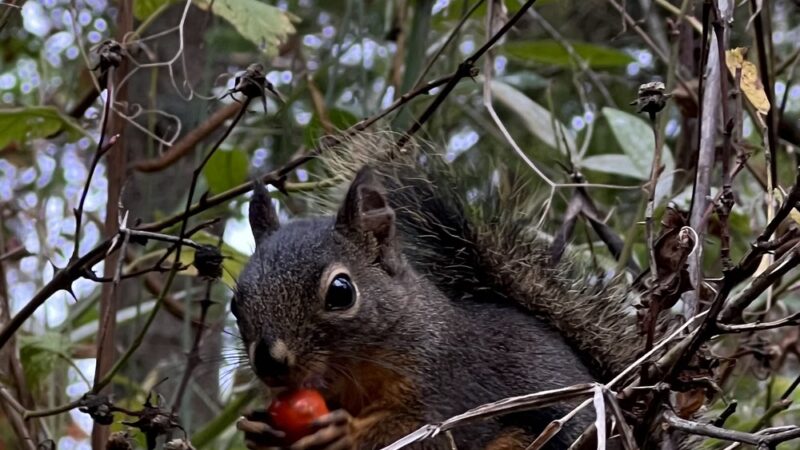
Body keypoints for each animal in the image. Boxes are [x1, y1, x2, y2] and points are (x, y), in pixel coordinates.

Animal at [231, 133, 677, 450]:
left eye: (341, 292)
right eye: (236, 303)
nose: (270, 361)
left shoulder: (451, 384)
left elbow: (423, 434)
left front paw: (344, 433)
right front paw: (258, 431)